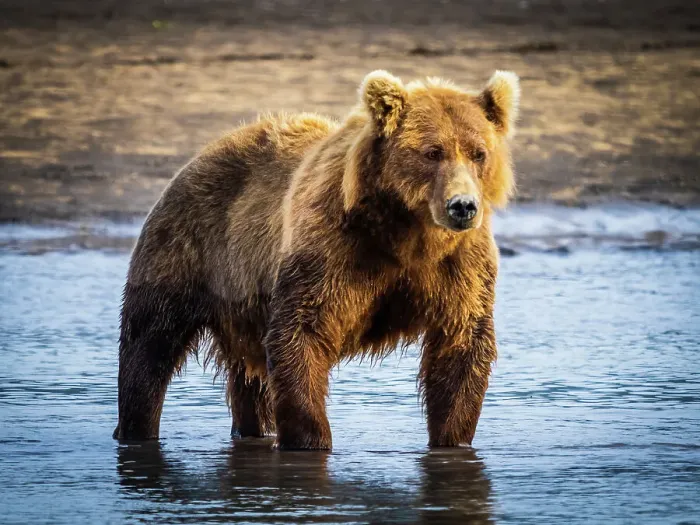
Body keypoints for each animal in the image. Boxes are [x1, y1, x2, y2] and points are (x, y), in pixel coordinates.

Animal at [113, 69, 520, 450]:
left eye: (478, 152)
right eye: (432, 152)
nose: (462, 206)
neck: (406, 232)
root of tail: (206, 150)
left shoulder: (458, 267)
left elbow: (461, 345)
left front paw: (453, 439)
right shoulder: (332, 251)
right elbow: (302, 333)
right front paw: (310, 441)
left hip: (243, 302)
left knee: (248, 378)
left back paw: (254, 430)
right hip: (185, 248)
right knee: (148, 346)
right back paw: (135, 429)